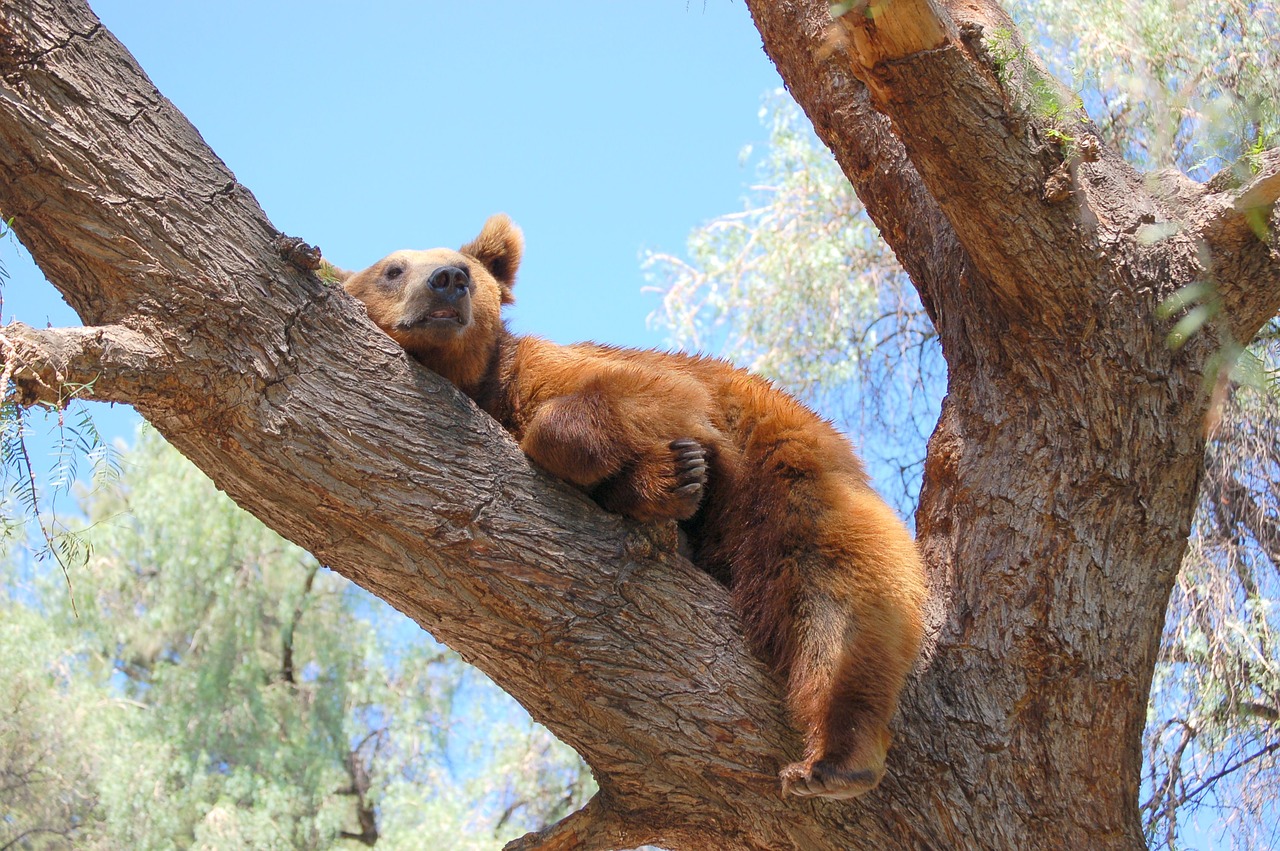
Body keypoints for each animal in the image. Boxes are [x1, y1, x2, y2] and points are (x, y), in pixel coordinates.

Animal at [335, 216, 926, 798]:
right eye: (393, 269)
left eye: (467, 269)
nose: (450, 280)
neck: (477, 386)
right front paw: (664, 483)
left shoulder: (565, 372)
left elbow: (636, 396)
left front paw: (656, 469)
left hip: (789, 470)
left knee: (839, 593)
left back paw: (836, 758)